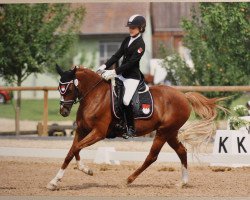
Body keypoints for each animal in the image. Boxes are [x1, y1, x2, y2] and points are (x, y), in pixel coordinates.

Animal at [46, 66, 226, 191]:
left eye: (68, 88)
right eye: (59, 88)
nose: (63, 111)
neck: (94, 96)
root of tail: (183, 96)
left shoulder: (98, 133)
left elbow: (76, 148)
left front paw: (85, 170)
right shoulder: (82, 130)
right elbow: (71, 151)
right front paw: (56, 181)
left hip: (163, 132)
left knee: (152, 157)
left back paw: (128, 180)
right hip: (170, 133)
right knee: (182, 151)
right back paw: (182, 182)